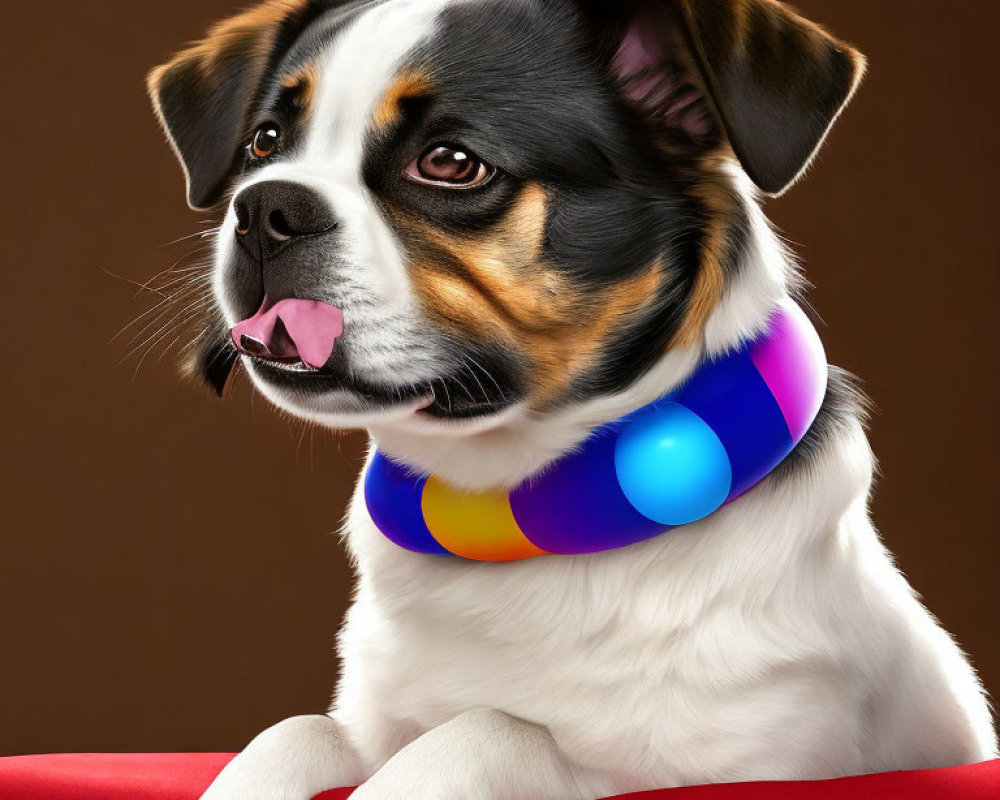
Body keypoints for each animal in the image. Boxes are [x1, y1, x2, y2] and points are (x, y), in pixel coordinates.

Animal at [148, 0, 1000, 792]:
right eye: (263, 145)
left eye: (451, 163)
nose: (265, 207)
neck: (511, 504)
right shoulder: (368, 723)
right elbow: (295, 734)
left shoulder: (743, 767)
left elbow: (493, 730)